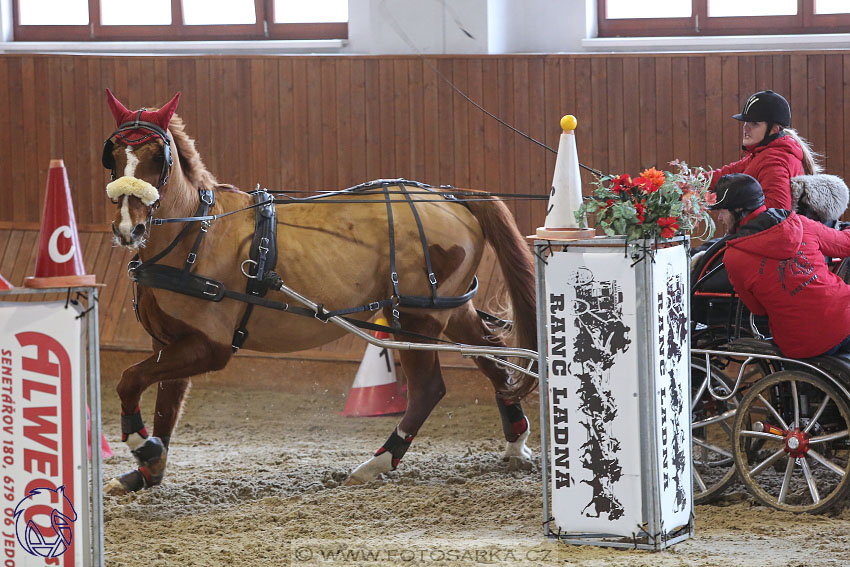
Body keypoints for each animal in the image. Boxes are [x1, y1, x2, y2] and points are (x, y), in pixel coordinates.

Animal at [99, 91, 536, 494]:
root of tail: (451, 196)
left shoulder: (208, 346)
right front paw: (147, 469)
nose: (128, 229)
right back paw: (516, 443)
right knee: (492, 358)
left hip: (417, 316)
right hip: (448, 307)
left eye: (158, 158)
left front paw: (143, 447)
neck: (196, 233)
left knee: (430, 389)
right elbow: (166, 405)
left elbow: (129, 380)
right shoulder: (169, 341)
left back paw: (378, 463)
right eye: (115, 153)